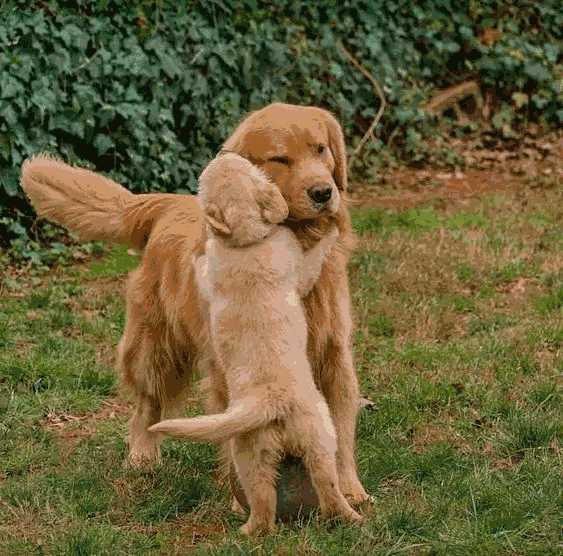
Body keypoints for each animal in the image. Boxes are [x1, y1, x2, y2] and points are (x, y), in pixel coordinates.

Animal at [150, 154, 362, 536]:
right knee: (326, 484)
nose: (222, 155)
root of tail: (271, 402)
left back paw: (253, 531)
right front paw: (329, 237)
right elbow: (310, 262)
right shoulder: (294, 261)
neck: (245, 242)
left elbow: (203, 267)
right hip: (319, 432)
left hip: (260, 452)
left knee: (272, 500)